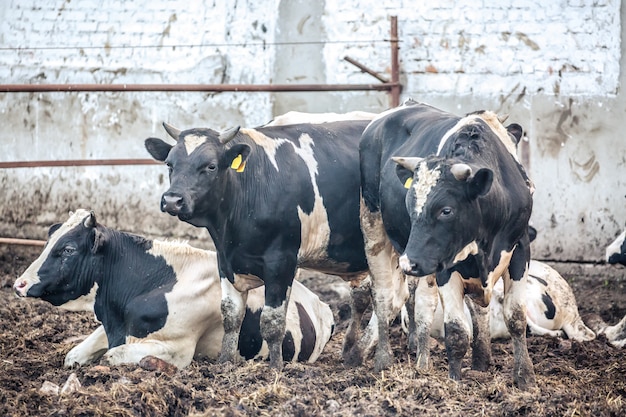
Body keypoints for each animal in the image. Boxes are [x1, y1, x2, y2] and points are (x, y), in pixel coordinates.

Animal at [12, 208, 334, 368]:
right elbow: (74, 355)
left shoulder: (178, 349)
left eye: (67, 250)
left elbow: (112, 356)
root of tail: (320, 302)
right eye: (49, 239)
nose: (19, 284)